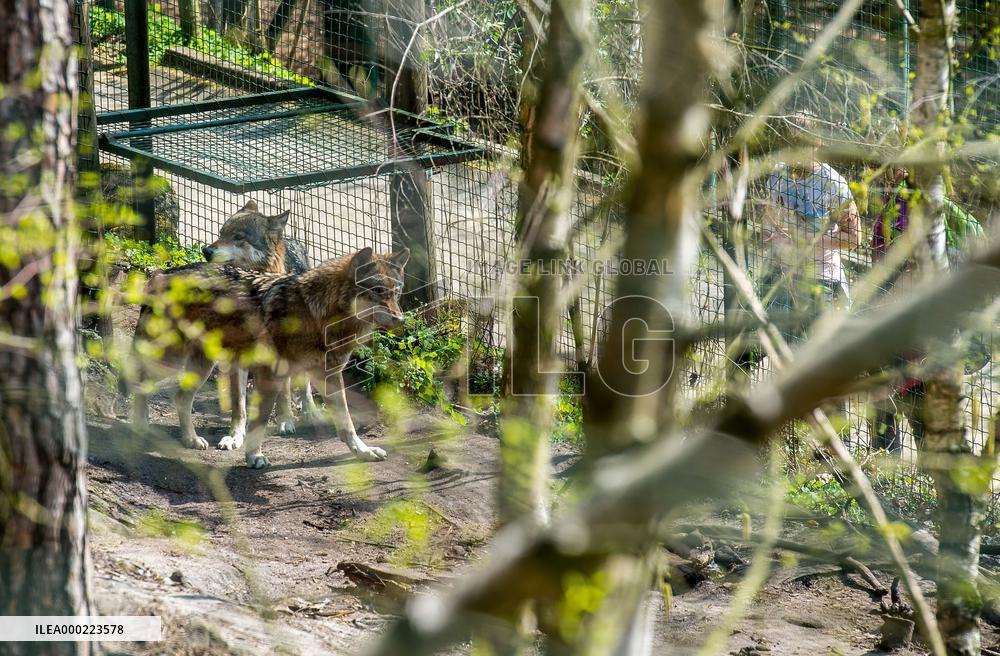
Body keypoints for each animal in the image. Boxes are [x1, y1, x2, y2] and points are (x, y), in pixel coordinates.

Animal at [128, 246, 409, 466]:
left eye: (396, 293)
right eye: (378, 291)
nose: (400, 319)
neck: (317, 316)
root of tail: (161, 274)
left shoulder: (328, 376)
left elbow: (346, 423)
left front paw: (364, 452)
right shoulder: (271, 373)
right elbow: (260, 419)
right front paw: (254, 456)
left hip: (201, 367)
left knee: (179, 397)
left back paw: (190, 439)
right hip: (170, 361)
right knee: (140, 380)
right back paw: (140, 426)